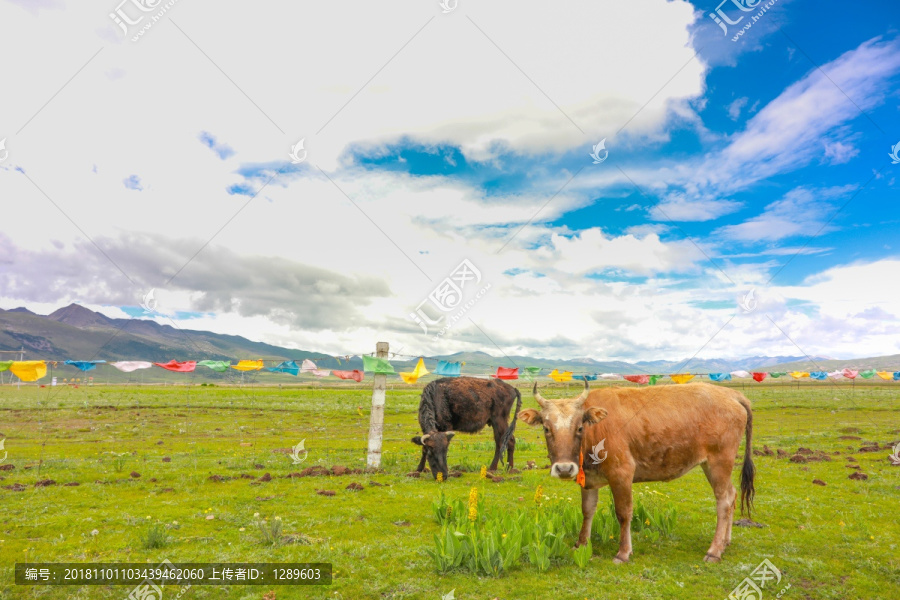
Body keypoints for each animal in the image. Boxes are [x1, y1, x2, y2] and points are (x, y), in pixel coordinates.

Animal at [516, 380, 756, 564]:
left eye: (580, 427)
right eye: (546, 428)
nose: (564, 468)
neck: (597, 430)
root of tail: (730, 393)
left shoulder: (621, 474)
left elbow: (623, 513)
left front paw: (623, 553)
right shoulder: (589, 480)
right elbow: (587, 510)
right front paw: (581, 544)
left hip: (719, 462)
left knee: (724, 501)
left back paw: (714, 550)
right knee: (732, 494)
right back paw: (725, 542)